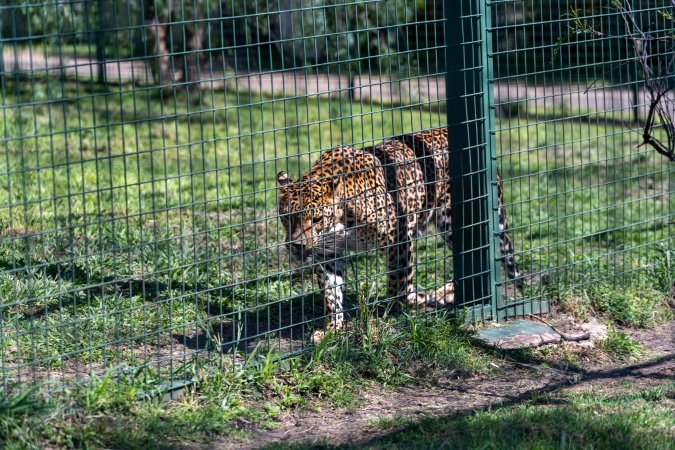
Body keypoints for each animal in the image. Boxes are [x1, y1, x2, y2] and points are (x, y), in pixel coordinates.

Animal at [276, 126, 522, 336]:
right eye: (287, 218)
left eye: (316, 219)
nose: (297, 246)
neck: (341, 219)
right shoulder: (327, 253)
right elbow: (331, 292)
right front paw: (332, 327)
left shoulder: (399, 236)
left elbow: (398, 283)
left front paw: (395, 310)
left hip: (452, 222)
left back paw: (446, 293)